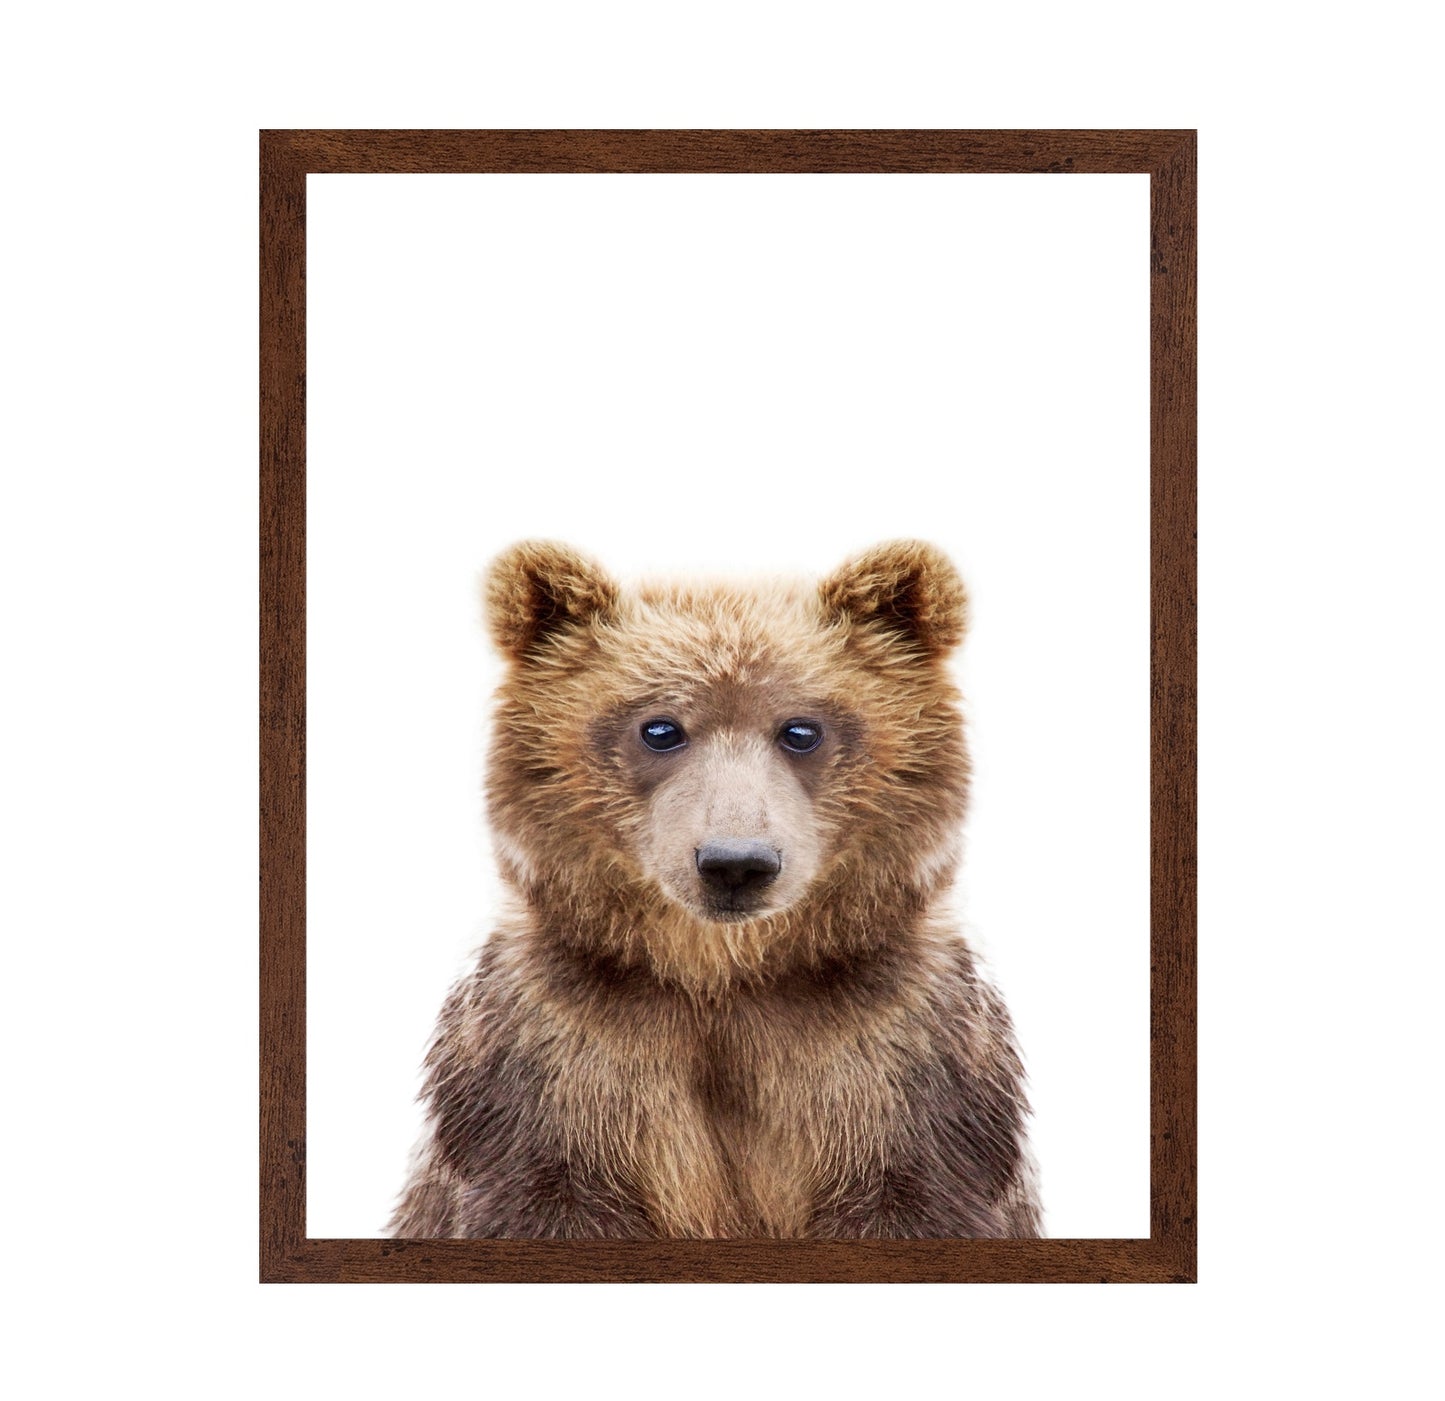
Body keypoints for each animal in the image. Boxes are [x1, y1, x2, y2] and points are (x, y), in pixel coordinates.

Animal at [388, 540, 1042, 1239]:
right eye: (660, 728)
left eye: (801, 729)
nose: (735, 863)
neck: (722, 977)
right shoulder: (555, 1058)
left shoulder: (899, 1058)